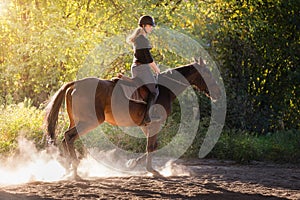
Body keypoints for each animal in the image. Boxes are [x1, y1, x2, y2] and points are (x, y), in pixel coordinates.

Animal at [45, 57, 223, 178]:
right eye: (207, 74)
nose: (218, 93)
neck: (166, 89)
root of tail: (75, 84)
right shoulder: (155, 124)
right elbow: (151, 146)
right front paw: (152, 170)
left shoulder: (146, 125)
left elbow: (152, 146)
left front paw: (132, 164)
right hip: (90, 121)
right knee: (69, 137)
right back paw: (74, 170)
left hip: (77, 120)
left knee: (66, 138)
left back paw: (68, 168)